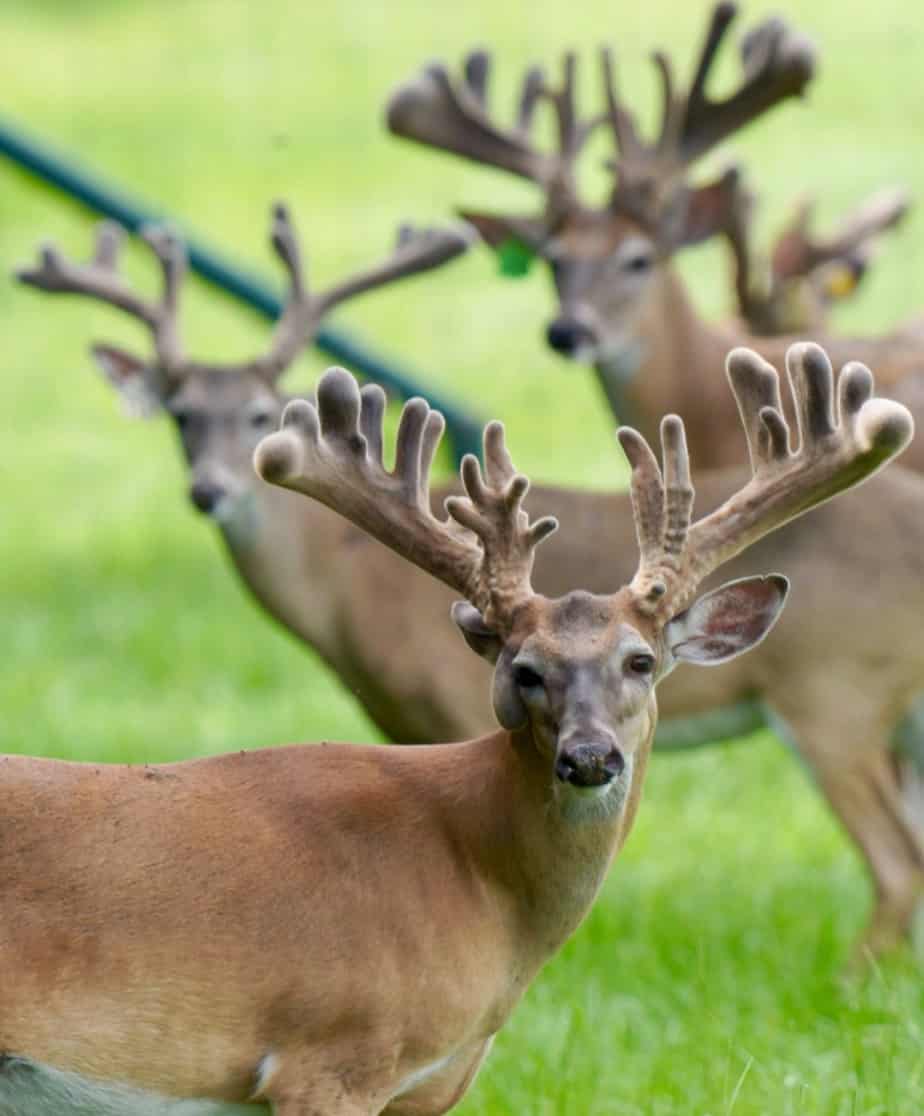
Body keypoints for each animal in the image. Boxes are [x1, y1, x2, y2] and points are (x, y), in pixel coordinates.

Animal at [17, 211, 924, 956]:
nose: (209, 490)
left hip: (834, 693)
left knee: (896, 861)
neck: (340, 589)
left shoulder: (443, 707)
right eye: (180, 417)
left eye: (257, 418)